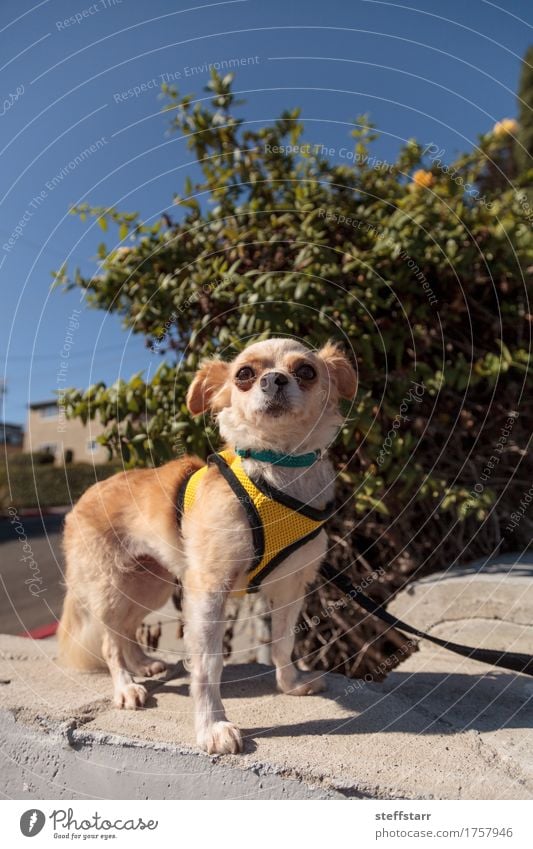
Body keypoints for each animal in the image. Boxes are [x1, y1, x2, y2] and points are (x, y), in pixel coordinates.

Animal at [57, 334, 358, 752]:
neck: (275, 471)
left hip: (148, 583)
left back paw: (142, 664)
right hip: (111, 586)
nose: (274, 380)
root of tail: (83, 497)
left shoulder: (290, 586)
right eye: (244, 374)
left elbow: (282, 642)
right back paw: (126, 686)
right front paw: (212, 726)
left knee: (126, 628)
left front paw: (290, 684)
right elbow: (207, 664)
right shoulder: (208, 590)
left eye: (307, 371)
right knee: (109, 641)